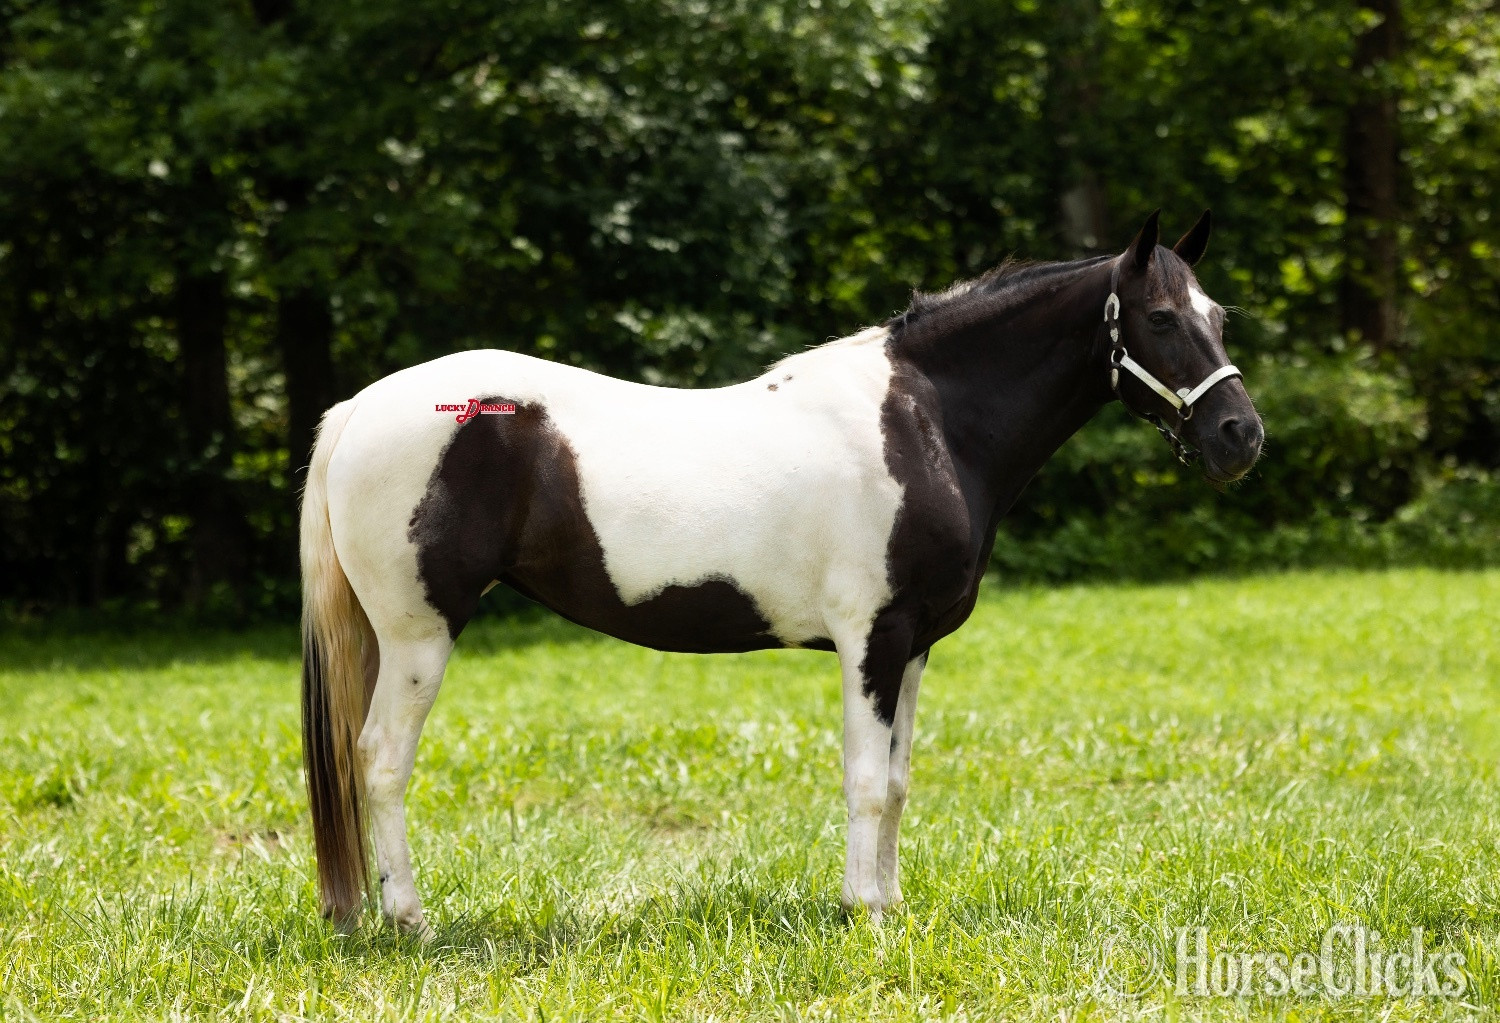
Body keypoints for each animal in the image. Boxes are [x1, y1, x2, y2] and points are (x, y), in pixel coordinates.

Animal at [299, 210, 1264, 934]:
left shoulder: (913, 647)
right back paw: (411, 920)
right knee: (380, 760)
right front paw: (864, 911)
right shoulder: (870, 639)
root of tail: (360, 408)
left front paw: (890, 903)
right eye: (1161, 317)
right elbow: (866, 780)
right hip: (419, 635)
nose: (1239, 437)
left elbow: (898, 780)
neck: (925, 420)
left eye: (1218, 316)